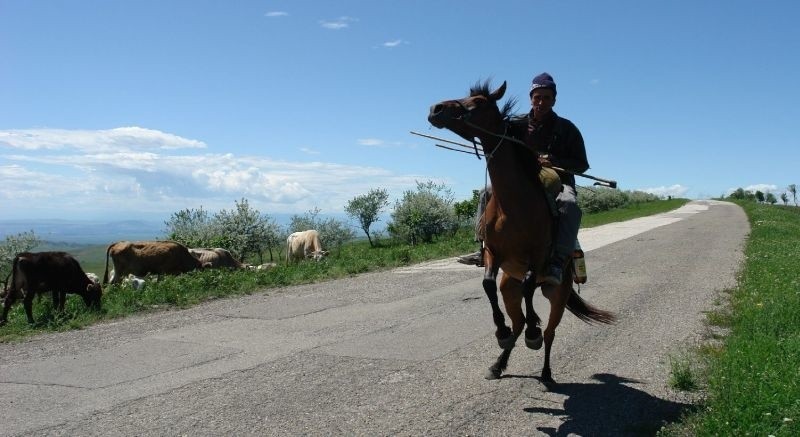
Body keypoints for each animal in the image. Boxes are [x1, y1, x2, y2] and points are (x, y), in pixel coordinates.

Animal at [428, 80, 616, 384]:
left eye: (479, 102)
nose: (436, 108)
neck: (513, 204)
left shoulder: (537, 256)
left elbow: (529, 287)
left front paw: (533, 333)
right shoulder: (494, 253)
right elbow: (487, 284)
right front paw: (501, 331)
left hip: (557, 294)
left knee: (550, 331)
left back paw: (546, 369)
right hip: (509, 288)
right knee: (517, 321)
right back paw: (499, 361)